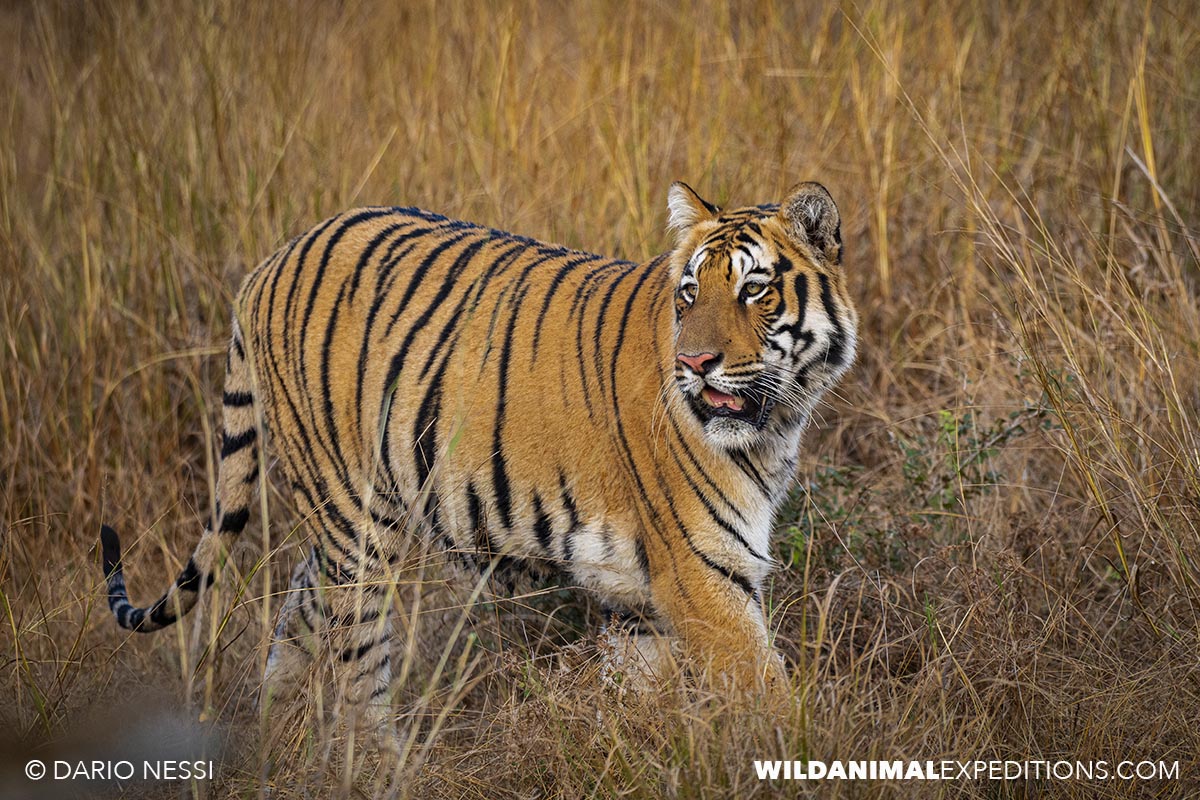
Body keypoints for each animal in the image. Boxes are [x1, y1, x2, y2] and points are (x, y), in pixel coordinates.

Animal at [99, 180, 857, 743]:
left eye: (755, 290)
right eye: (691, 292)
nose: (694, 363)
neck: (775, 425)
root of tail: (270, 262)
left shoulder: (640, 598)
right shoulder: (703, 577)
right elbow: (768, 701)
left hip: (335, 528)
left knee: (298, 618)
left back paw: (270, 744)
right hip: (358, 524)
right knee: (358, 672)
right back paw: (381, 766)